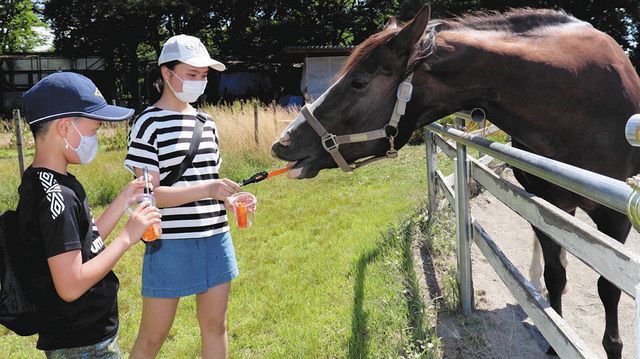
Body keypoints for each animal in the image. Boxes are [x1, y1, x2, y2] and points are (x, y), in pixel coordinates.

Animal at [270, 5, 640, 359]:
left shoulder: (617, 217)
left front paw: (611, 346)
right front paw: (554, 336)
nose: (283, 143)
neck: (576, 101)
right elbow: (555, 272)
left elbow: (610, 286)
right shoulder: (545, 204)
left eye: (359, 82)